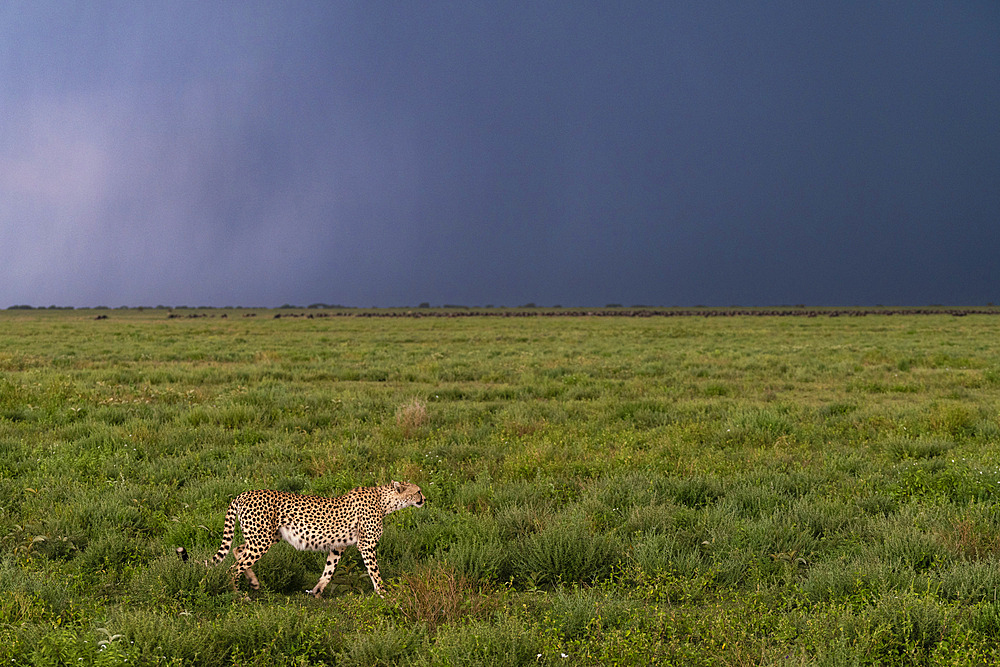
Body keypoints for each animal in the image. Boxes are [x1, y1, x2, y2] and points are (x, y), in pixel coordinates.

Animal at [177, 482, 426, 596]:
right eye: (418, 491)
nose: (424, 499)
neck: (385, 501)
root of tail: (244, 493)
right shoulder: (366, 545)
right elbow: (374, 571)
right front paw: (384, 592)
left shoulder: (337, 547)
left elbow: (328, 570)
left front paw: (315, 591)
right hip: (261, 539)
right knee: (233, 566)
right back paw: (238, 595)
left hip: (266, 536)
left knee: (238, 551)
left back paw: (253, 583)